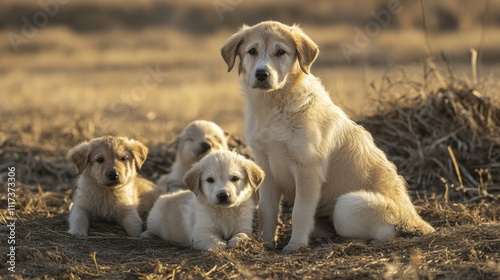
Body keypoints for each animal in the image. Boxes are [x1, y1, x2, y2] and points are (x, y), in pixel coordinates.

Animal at [221, 20, 436, 253]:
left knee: (386, 232)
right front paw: (265, 244)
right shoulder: (265, 167)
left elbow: (299, 212)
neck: (273, 104)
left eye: (280, 52)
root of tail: (418, 221)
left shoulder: (308, 170)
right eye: (252, 51)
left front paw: (295, 245)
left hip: (346, 205)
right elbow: (267, 210)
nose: (261, 74)